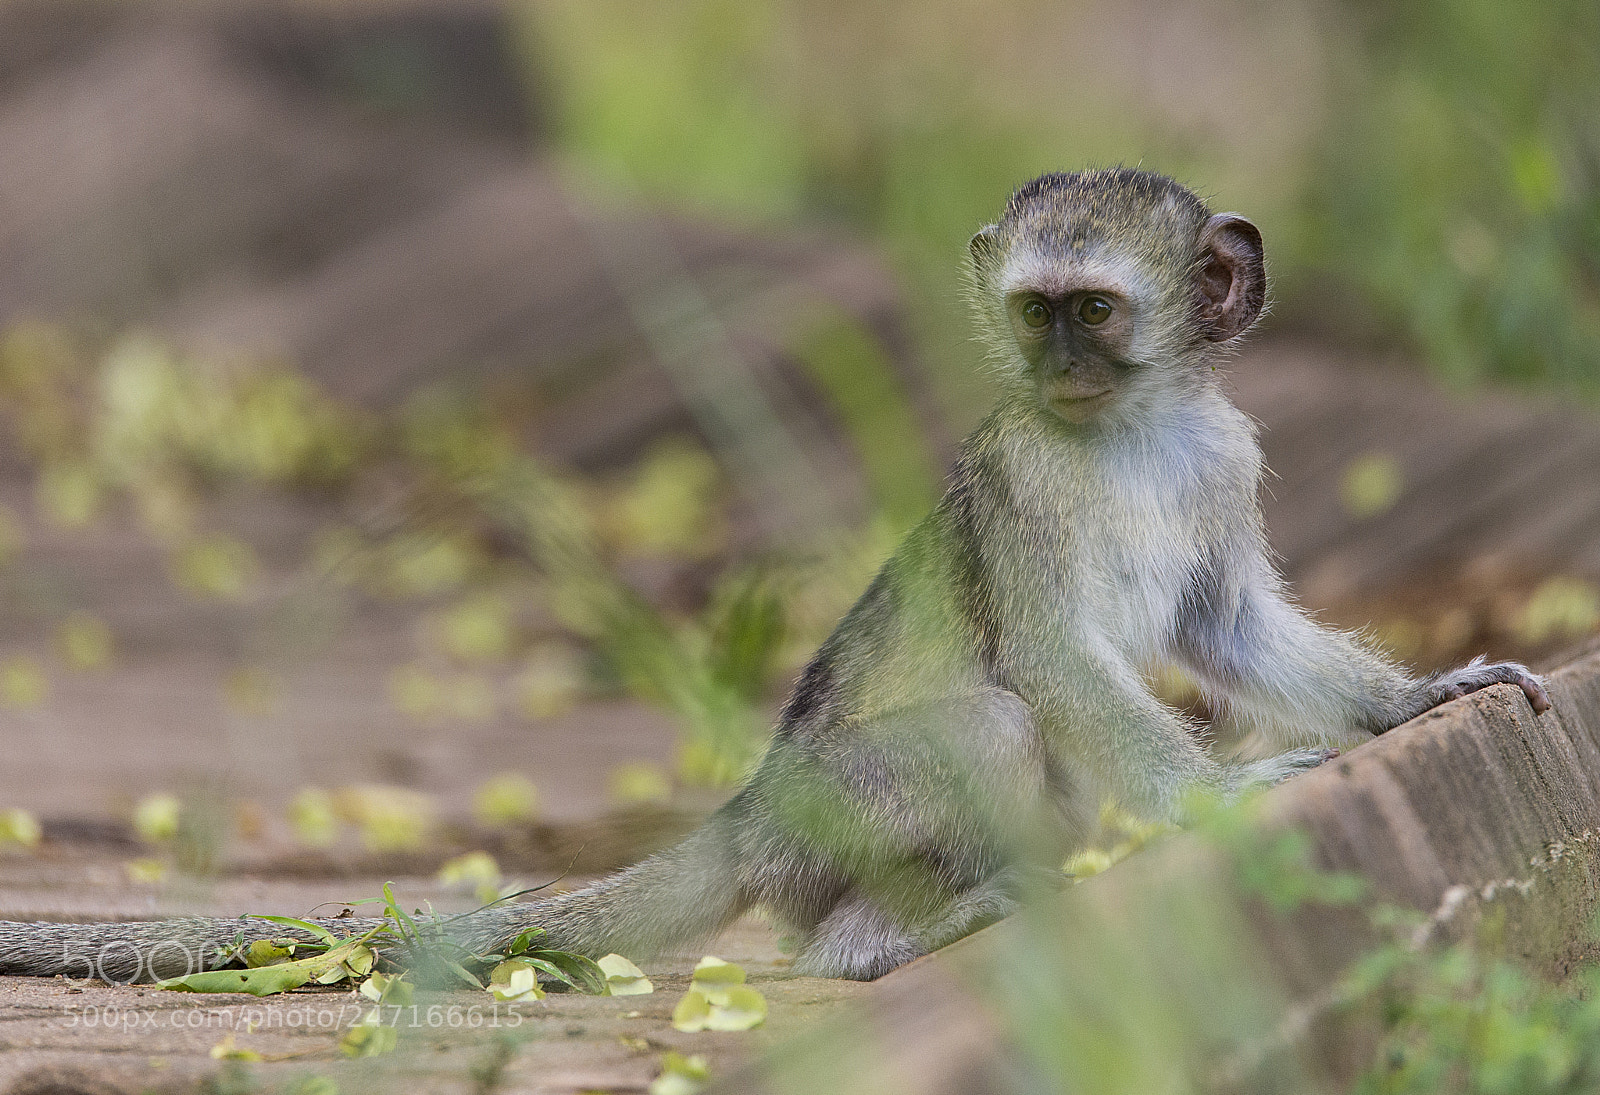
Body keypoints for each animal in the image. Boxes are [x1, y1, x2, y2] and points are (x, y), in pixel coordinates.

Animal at [0, 168, 1551, 985]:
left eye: (1095, 311)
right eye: (1035, 312)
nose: (1057, 361)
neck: (1130, 427)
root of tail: (749, 813)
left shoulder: (1223, 451)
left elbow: (1227, 625)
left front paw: (1415, 700)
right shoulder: (1026, 481)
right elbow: (1051, 664)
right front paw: (1214, 803)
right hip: (828, 818)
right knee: (991, 729)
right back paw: (880, 940)